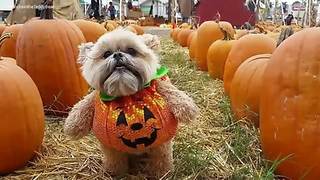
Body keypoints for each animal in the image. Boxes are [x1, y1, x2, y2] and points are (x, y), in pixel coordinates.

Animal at [63, 28, 199, 178]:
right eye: (106, 54)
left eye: (132, 50)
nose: (117, 54)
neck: (125, 92)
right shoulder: (110, 146)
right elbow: (82, 107)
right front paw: (71, 126)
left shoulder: (159, 87)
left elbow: (171, 92)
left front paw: (188, 108)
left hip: (160, 149)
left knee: (160, 162)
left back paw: (162, 173)